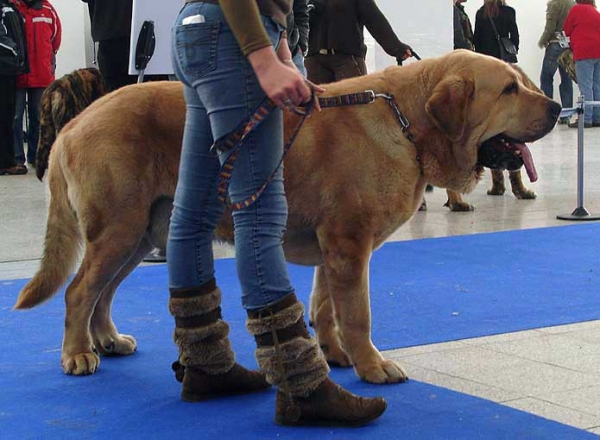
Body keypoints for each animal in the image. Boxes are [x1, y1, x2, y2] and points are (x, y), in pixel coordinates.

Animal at [14, 49, 564, 384]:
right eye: (509, 90)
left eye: (523, 83)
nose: (559, 108)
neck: (407, 122)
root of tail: (74, 123)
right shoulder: (349, 244)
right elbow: (357, 314)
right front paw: (372, 366)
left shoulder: (334, 248)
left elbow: (326, 308)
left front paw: (337, 356)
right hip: (119, 228)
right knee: (79, 291)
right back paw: (77, 354)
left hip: (140, 234)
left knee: (101, 293)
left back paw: (106, 340)